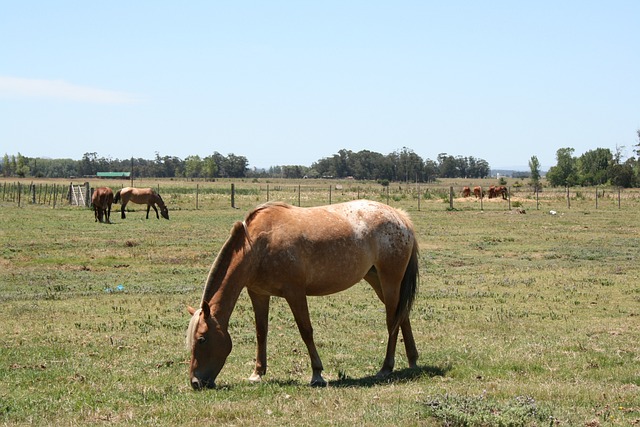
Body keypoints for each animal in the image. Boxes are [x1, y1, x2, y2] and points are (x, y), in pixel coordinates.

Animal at [185, 201, 420, 392]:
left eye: (202, 339)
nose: (195, 383)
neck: (258, 245)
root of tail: (401, 217)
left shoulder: (295, 292)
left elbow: (306, 331)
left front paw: (317, 374)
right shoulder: (258, 294)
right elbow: (261, 332)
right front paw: (257, 373)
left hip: (390, 281)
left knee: (392, 321)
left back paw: (386, 367)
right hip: (376, 279)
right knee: (402, 316)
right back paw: (413, 360)